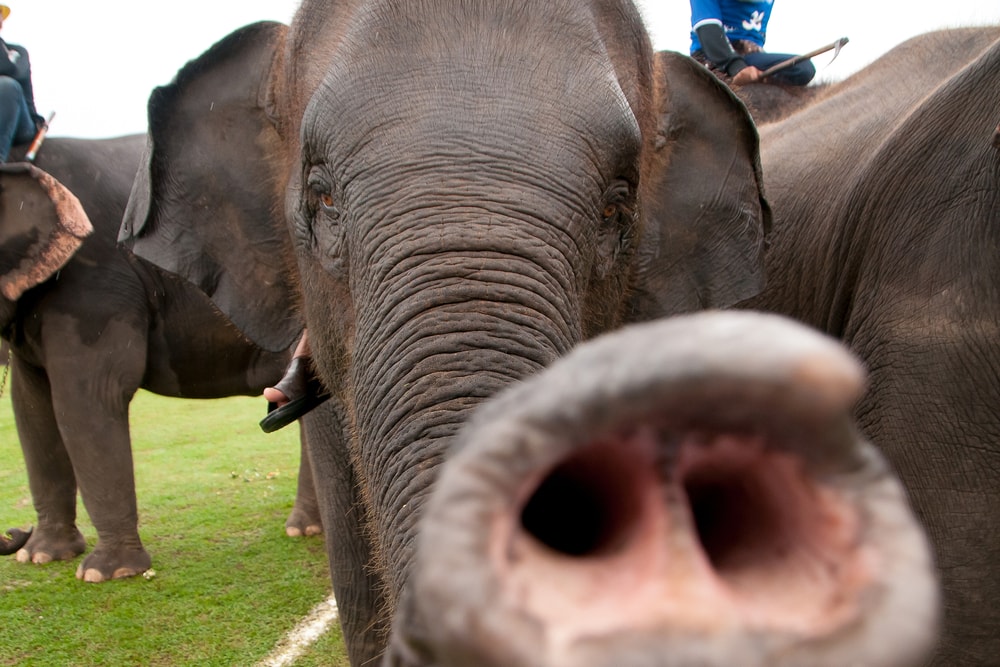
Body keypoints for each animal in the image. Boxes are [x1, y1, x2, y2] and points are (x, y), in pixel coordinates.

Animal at [0, 136, 321, 582]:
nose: (14, 533)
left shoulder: (95, 281)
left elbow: (89, 396)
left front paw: (107, 574)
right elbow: (30, 405)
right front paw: (42, 556)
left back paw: (304, 530)